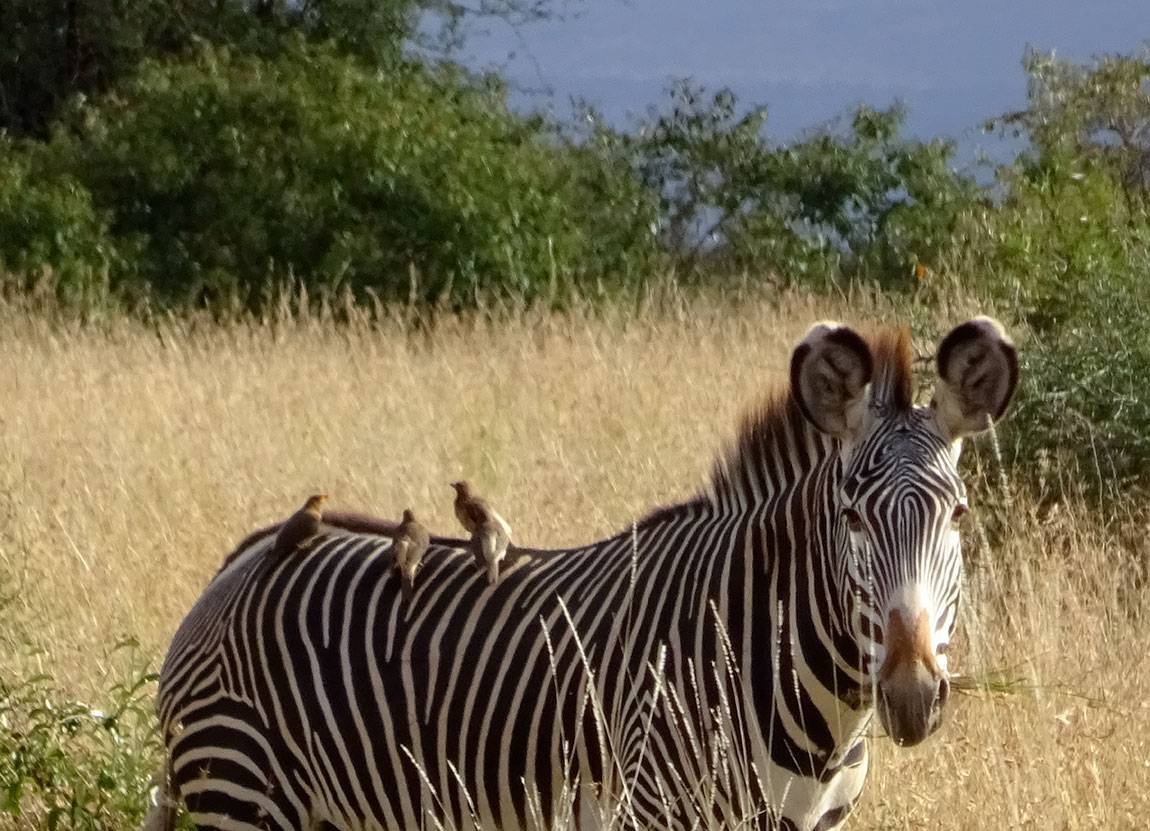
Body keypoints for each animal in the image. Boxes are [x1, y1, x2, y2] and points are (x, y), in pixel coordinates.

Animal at [146, 317, 1018, 831]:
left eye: (959, 514)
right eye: (851, 518)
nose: (911, 695)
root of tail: (244, 560)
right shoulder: (652, 809)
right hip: (242, 791)